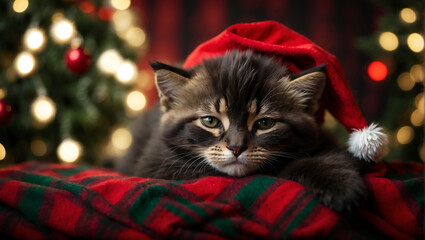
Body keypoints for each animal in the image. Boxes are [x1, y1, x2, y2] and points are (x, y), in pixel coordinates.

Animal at [116, 49, 368, 213]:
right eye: (210, 121)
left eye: (264, 124)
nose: (236, 147)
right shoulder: (157, 162)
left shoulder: (324, 141)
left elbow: (328, 158)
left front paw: (341, 186)